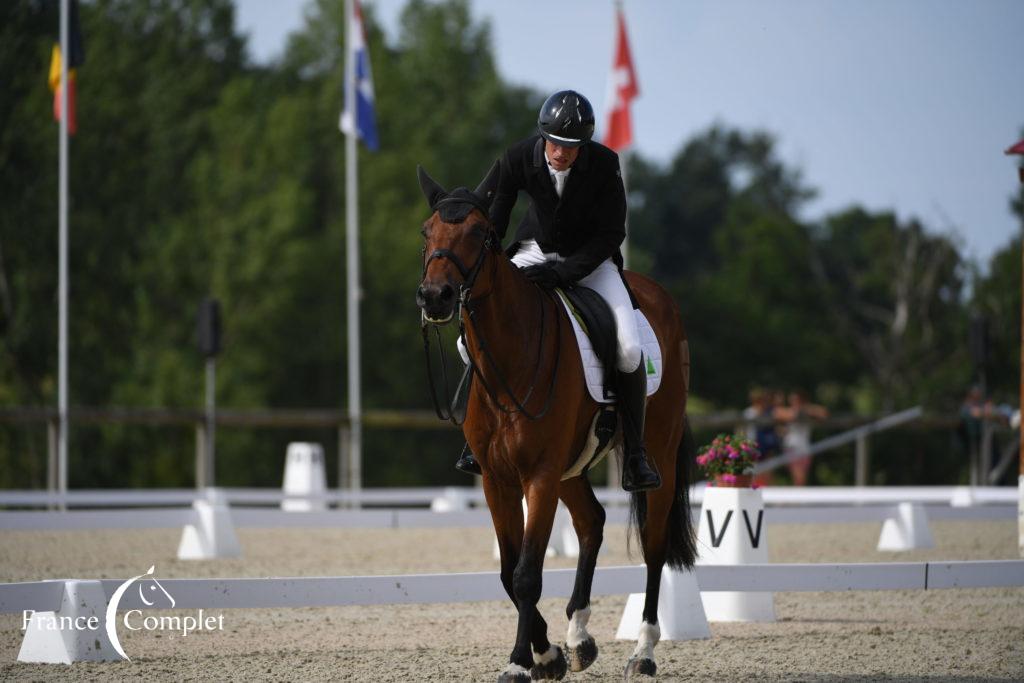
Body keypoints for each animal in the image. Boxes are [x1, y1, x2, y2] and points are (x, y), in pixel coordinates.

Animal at [415, 162, 696, 679]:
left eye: (481, 233)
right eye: (428, 232)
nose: (434, 297)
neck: (512, 355)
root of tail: (658, 295)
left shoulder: (540, 476)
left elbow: (527, 574)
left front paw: (519, 663)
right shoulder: (499, 480)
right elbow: (508, 570)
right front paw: (549, 655)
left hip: (657, 454)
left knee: (654, 545)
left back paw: (643, 652)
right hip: (571, 468)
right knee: (591, 522)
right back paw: (580, 635)